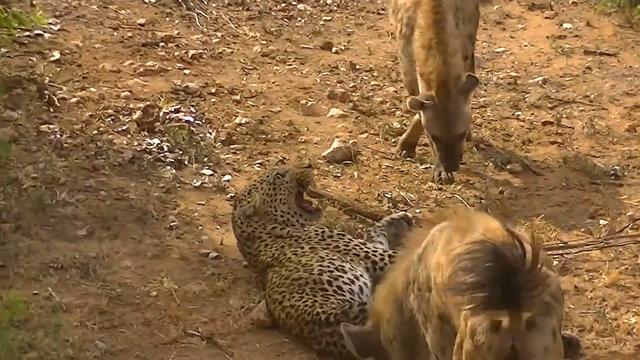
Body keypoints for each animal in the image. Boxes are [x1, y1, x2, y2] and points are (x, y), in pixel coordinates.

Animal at [388, 0, 488, 183]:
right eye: (434, 137)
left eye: (461, 134)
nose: (452, 166)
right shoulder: (407, 60)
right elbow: (417, 103)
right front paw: (407, 147)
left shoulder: (467, 40)